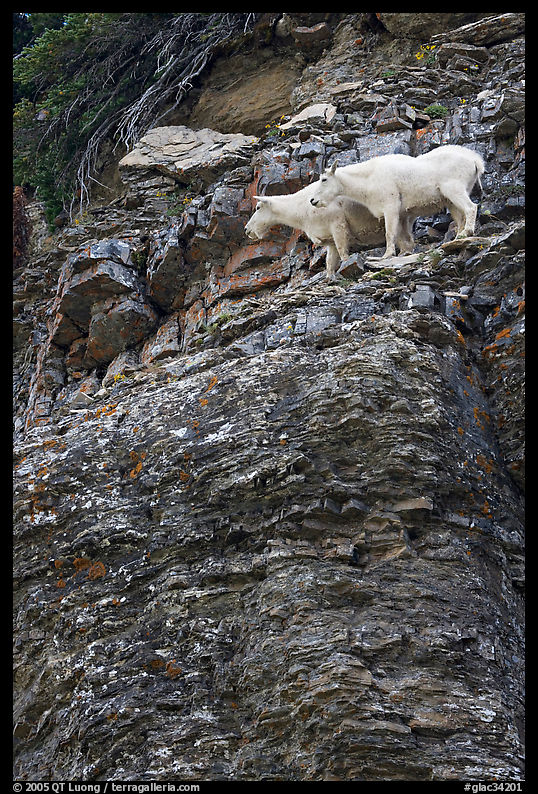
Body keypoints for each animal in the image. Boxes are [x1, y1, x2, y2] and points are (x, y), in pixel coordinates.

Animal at [244, 181, 415, 280]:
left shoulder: (337, 225)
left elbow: (342, 252)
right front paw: (329, 278)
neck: (300, 208)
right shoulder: (329, 240)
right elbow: (329, 262)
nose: (247, 230)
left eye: (258, 207)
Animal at [309, 145, 485, 258]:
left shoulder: (390, 206)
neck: (368, 178)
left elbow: (389, 233)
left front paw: (387, 255)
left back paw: (467, 232)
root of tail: (475, 161)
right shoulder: (403, 214)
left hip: (454, 189)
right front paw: (404, 252)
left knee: (471, 207)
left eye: (324, 179)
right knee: (460, 217)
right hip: (451, 199)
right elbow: (403, 235)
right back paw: (458, 238)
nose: (313, 200)